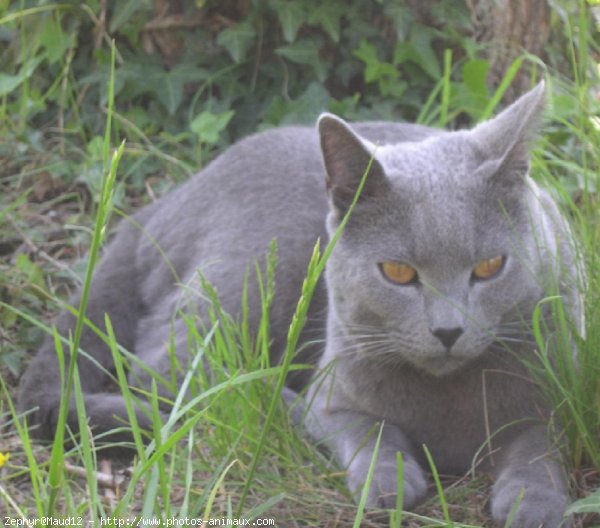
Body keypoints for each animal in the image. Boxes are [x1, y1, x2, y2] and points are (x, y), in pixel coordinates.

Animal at [18, 80, 580, 524]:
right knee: (168, 371)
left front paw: (532, 503)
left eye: (489, 267)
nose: (448, 331)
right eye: (398, 274)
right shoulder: (332, 395)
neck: (446, 400)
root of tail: (161, 203)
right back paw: (270, 400)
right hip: (259, 275)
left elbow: (540, 442)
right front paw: (389, 482)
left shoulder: (562, 395)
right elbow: (368, 428)